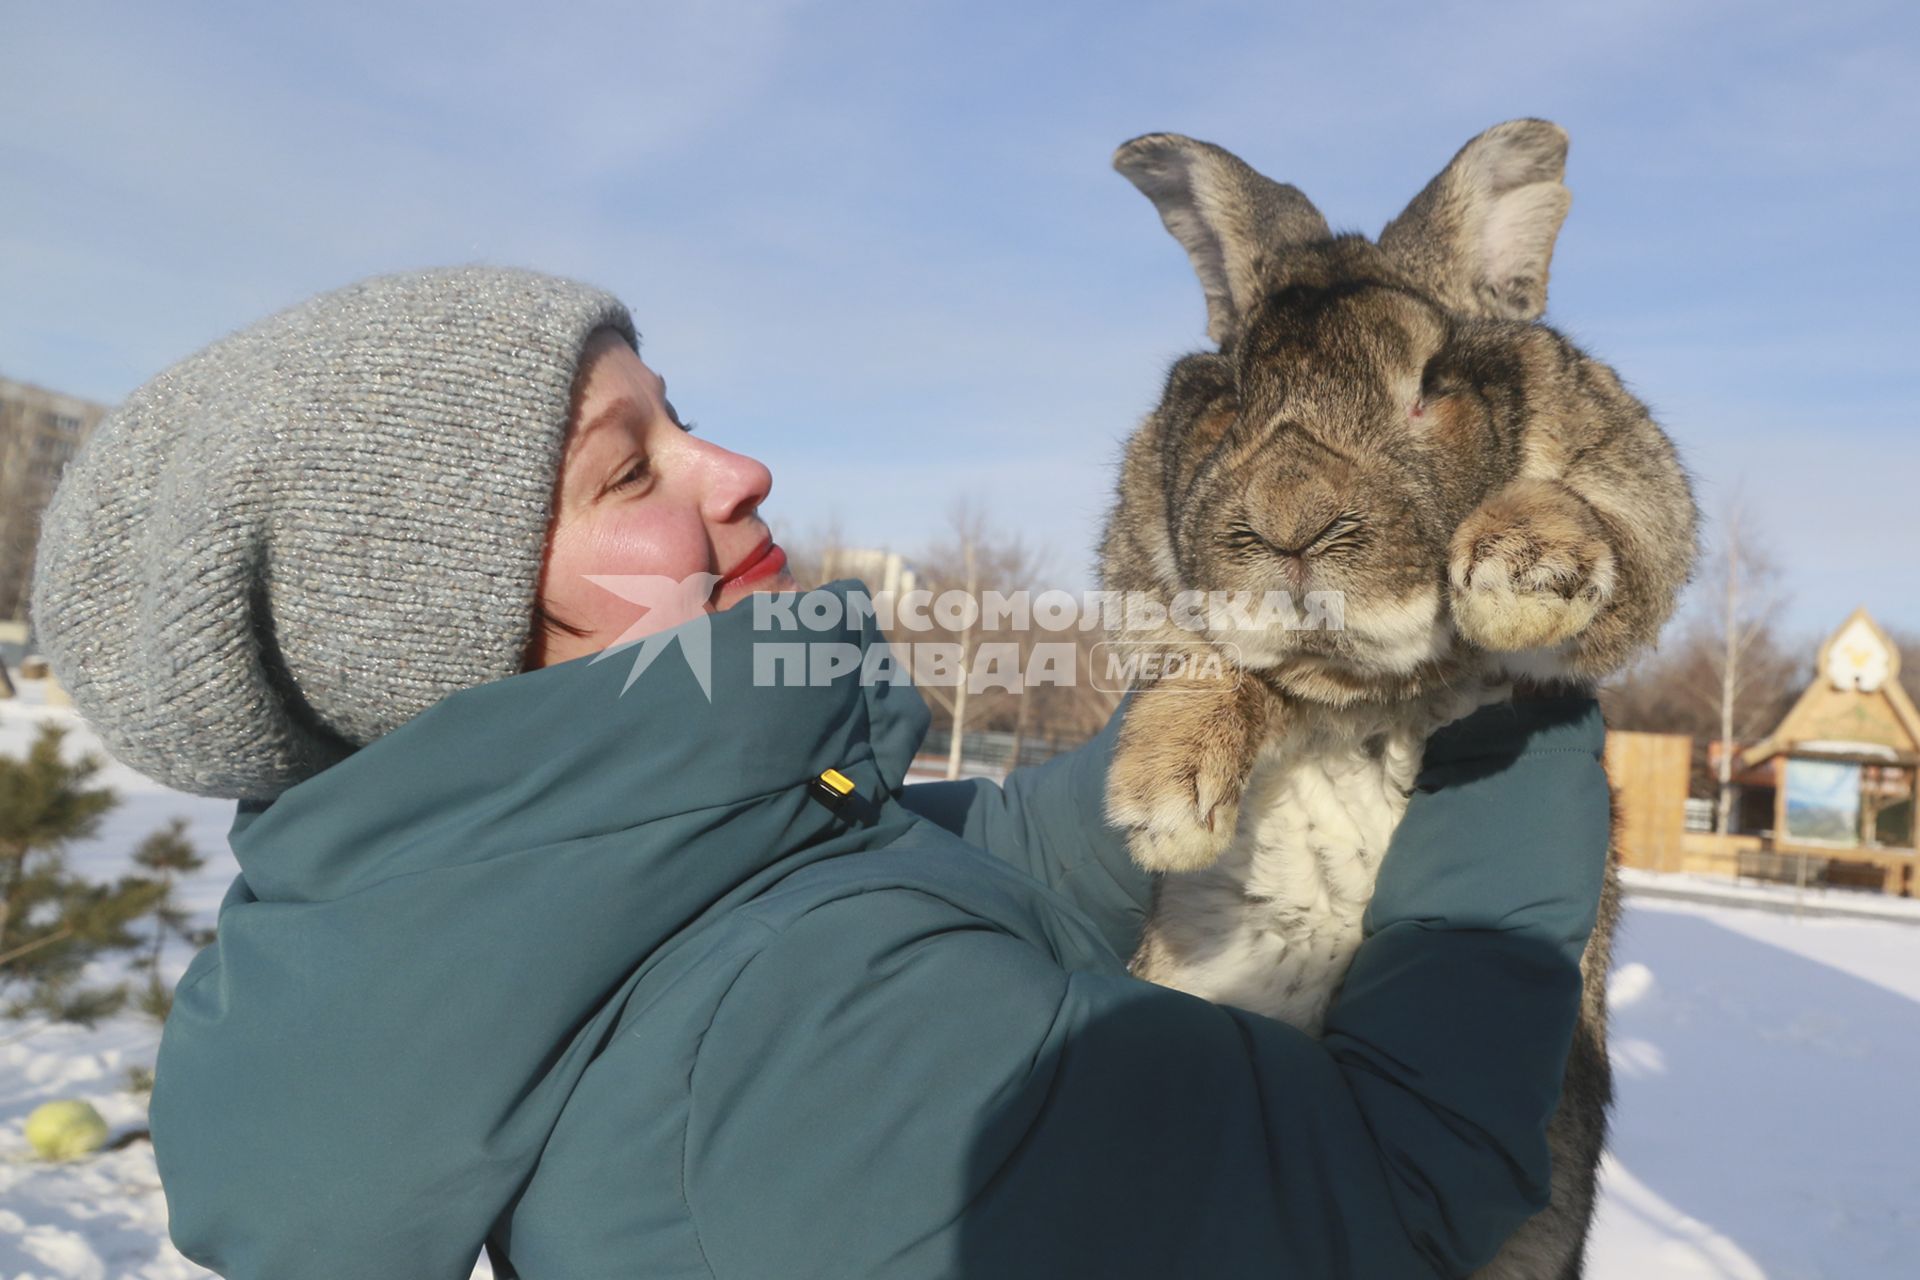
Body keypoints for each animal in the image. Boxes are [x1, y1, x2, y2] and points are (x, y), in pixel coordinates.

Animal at [1098, 115, 1697, 1274]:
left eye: (1431, 385)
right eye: (1228, 399)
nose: (1289, 521)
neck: (1366, 698)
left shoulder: (1634, 494)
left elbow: (1603, 523)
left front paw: (1522, 566)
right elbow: (1207, 654)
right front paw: (1164, 794)